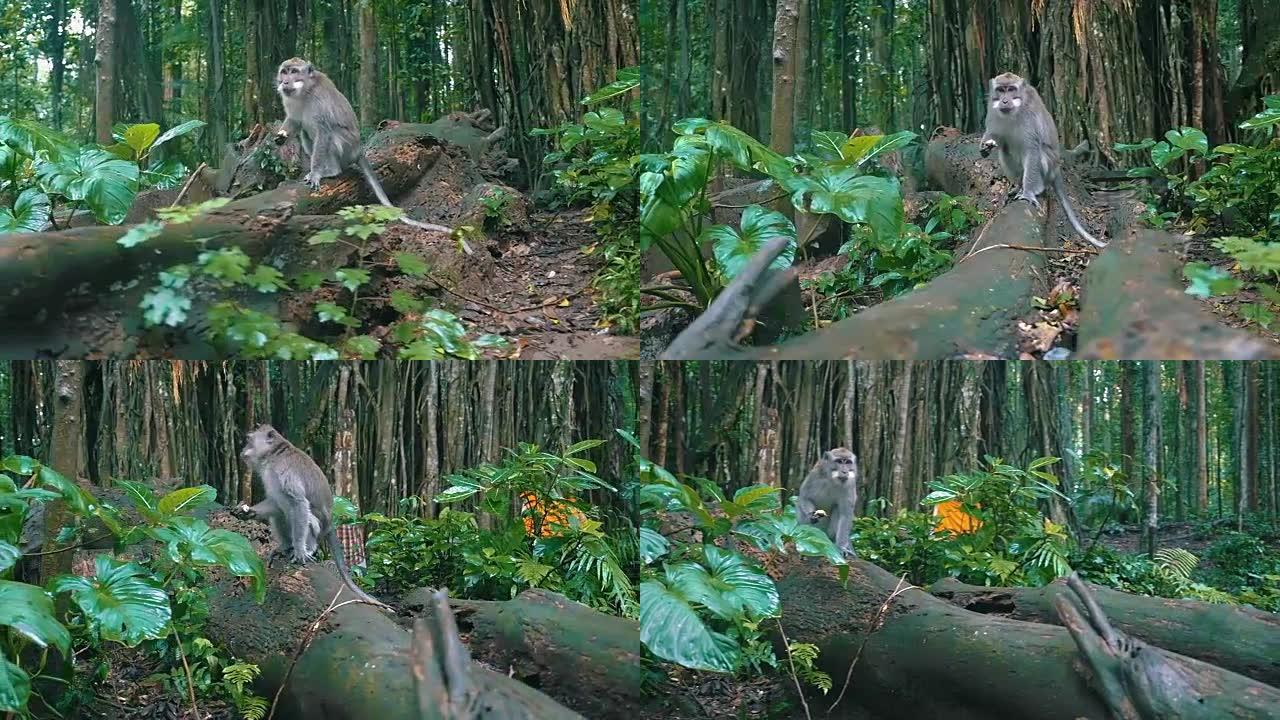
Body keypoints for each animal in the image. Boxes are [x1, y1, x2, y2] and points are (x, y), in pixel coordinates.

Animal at [232, 422, 386, 607]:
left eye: (249, 440)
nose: (242, 450)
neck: (273, 455)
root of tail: (330, 524)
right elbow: (276, 503)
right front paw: (247, 512)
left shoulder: (285, 469)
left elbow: (299, 503)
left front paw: (299, 550)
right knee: (280, 513)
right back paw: (285, 547)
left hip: (319, 527)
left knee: (306, 517)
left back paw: (308, 548)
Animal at [273, 56, 471, 248]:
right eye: (284, 71)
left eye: (294, 71)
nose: (285, 82)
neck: (304, 92)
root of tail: (359, 150)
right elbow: (295, 121)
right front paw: (281, 136)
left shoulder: (319, 103)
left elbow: (324, 132)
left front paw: (315, 173)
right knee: (305, 132)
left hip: (347, 149)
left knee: (331, 134)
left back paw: (331, 170)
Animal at [983, 71, 1105, 248]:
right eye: (1000, 90)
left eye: (1011, 89)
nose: (1005, 101)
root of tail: (1057, 168)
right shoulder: (992, 111)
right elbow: (996, 135)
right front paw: (985, 146)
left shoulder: (1029, 117)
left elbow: (1032, 149)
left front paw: (1028, 194)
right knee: (1005, 150)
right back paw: (1018, 185)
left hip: (1048, 169)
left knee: (1039, 155)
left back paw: (1033, 188)